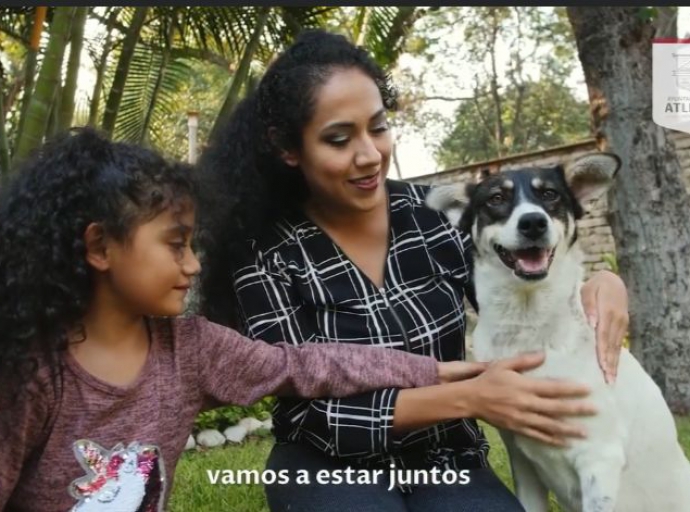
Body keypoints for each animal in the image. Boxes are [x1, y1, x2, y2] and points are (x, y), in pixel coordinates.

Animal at [424, 152, 688, 512]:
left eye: (550, 195)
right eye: (496, 199)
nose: (533, 222)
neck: (529, 325)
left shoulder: (599, 460)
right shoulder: (522, 458)